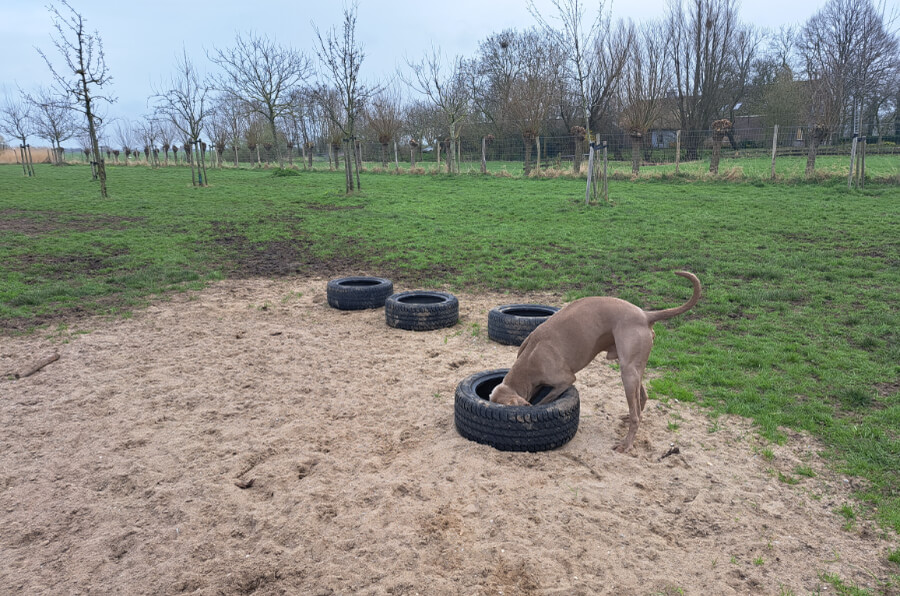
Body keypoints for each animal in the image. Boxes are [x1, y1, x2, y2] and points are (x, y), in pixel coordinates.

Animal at [492, 270, 704, 452]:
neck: (528, 364)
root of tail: (645, 314)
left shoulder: (565, 380)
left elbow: (544, 401)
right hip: (632, 367)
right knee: (641, 398)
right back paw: (628, 417)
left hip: (628, 371)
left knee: (637, 414)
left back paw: (626, 444)